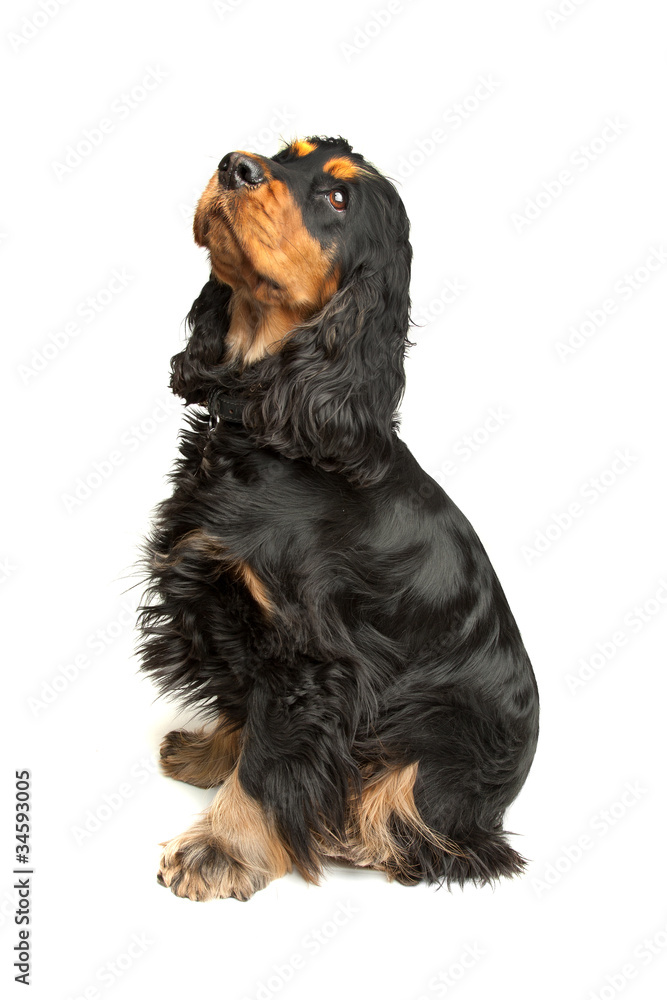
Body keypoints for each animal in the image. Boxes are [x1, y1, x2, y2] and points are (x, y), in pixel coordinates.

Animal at [138, 135, 539, 901]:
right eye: (282, 153)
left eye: (336, 198)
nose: (234, 165)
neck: (275, 426)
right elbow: (246, 712)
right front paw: (209, 754)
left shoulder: (311, 658)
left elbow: (269, 759)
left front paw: (219, 849)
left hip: (441, 731)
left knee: (430, 821)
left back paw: (357, 829)